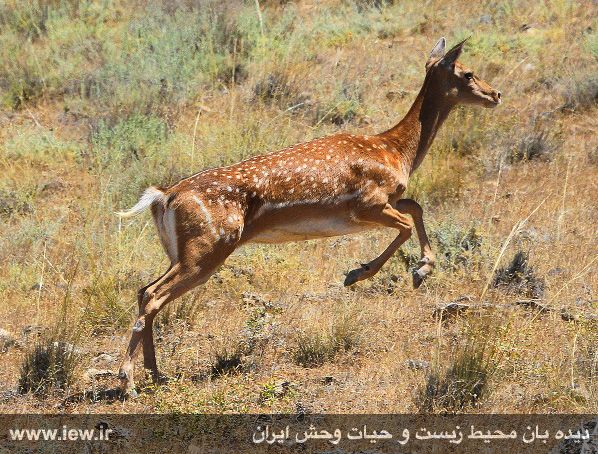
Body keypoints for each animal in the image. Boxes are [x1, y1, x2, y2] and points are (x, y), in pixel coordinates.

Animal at [116, 37, 502, 396]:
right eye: (468, 72)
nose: (496, 94)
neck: (396, 151)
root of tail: (163, 197)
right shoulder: (366, 203)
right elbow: (407, 223)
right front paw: (371, 273)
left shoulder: (385, 201)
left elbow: (416, 207)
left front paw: (415, 269)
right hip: (207, 247)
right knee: (153, 295)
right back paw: (129, 380)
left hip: (181, 250)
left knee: (144, 290)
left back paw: (156, 375)